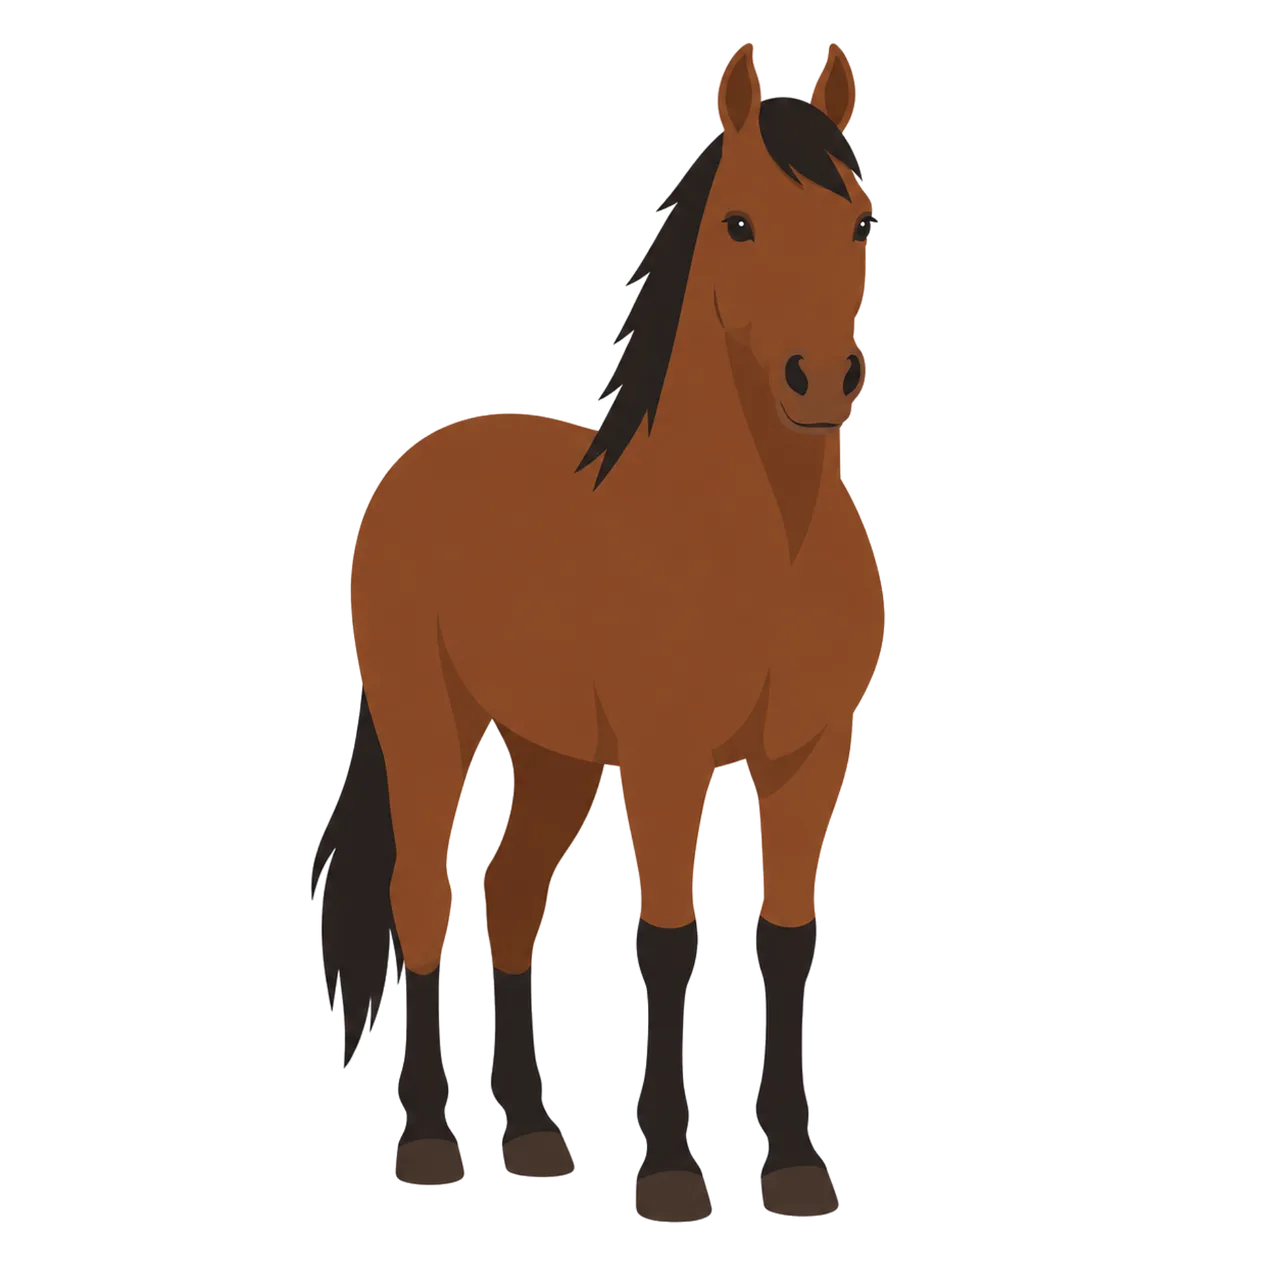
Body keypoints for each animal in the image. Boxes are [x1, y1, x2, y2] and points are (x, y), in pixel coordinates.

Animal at [312, 39, 886, 1222]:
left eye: (857, 222)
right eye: (739, 223)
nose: (820, 379)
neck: (757, 540)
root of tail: (418, 461)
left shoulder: (810, 756)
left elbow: (786, 938)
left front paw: (795, 1165)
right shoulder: (667, 756)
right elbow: (665, 938)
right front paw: (669, 1173)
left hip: (555, 752)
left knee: (509, 893)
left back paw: (535, 1138)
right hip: (429, 725)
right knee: (423, 896)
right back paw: (428, 1144)